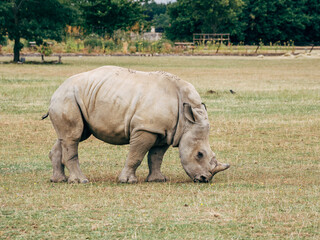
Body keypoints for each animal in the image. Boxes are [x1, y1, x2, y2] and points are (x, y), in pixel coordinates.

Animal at [44, 65, 230, 184]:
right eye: (199, 154)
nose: (205, 179)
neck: (187, 121)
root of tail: (57, 90)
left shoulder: (165, 131)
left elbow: (156, 157)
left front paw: (158, 180)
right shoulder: (145, 128)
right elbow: (136, 155)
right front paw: (127, 181)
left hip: (77, 98)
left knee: (71, 136)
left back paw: (58, 180)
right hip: (67, 97)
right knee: (73, 137)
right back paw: (80, 181)